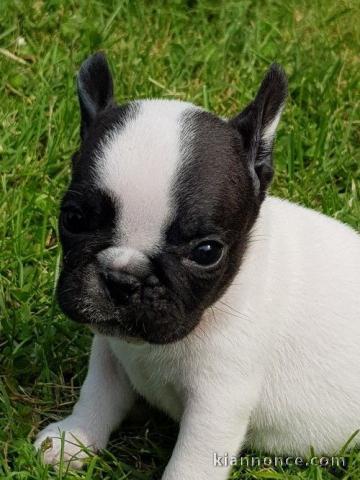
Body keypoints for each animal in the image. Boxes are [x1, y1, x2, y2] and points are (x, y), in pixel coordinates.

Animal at [34, 53, 360, 480]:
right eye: (73, 219)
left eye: (206, 252)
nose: (123, 278)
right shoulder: (110, 351)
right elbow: (97, 394)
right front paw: (72, 439)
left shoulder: (218, 401)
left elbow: (191, 461)